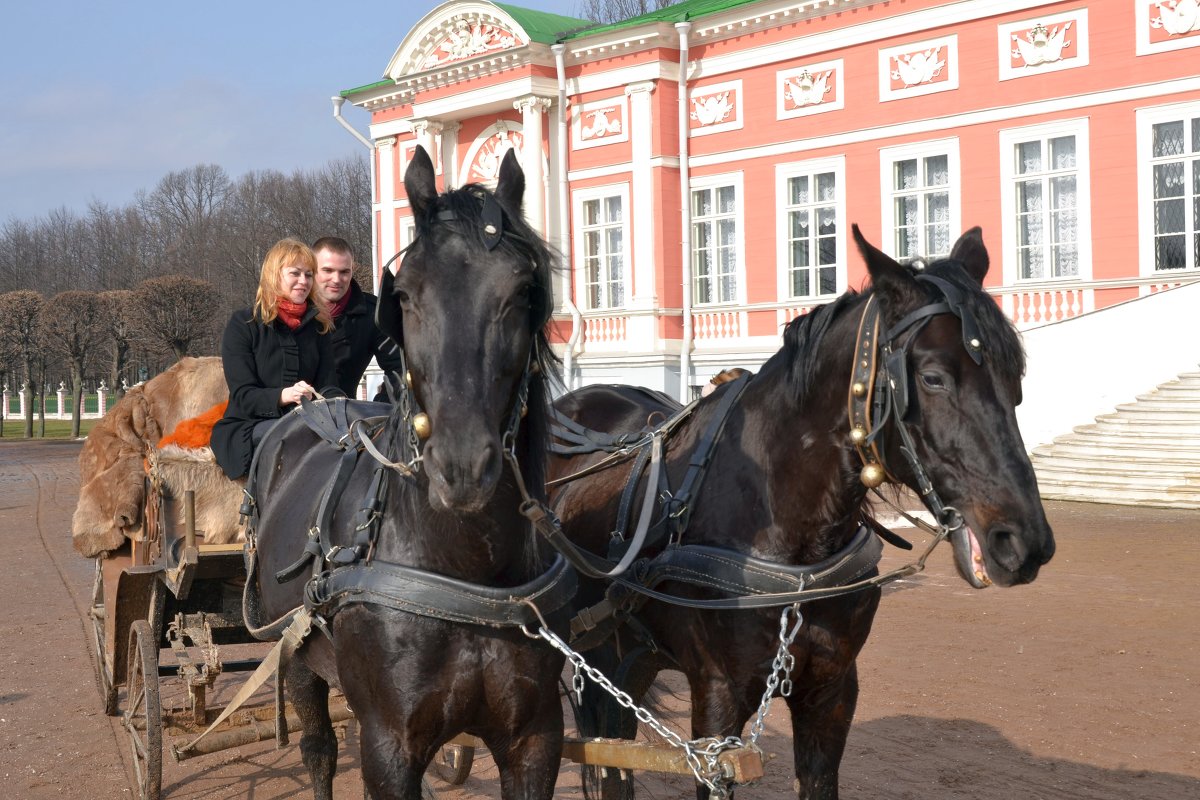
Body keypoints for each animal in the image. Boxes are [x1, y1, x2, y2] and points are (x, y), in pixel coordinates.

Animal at [247, 145, 566, 800]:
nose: (462, 466)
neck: (469, 573)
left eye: (523, 291)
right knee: (318, 749)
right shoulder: (389, 746)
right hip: (293, 649)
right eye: (409, 294)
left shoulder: (535, 743)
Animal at [549, 225, 1056, 800]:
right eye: (932, 378)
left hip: (624, 655)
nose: (1024, 541)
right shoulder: (717, 708)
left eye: (1014, 373)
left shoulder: (831, 692)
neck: (790, 537)